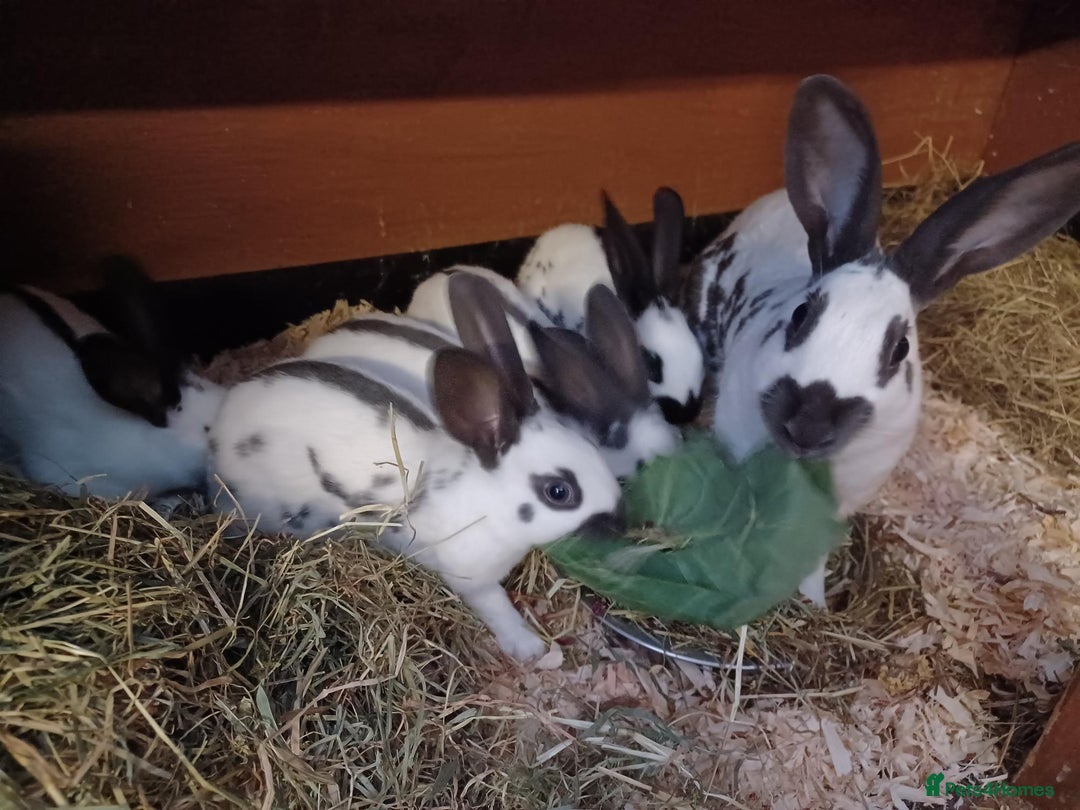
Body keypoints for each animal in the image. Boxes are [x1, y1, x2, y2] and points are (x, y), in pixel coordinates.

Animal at [209, 272, 625, 660]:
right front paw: (529, 648)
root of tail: (220, 430)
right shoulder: (472, 577)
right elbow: (496, 607)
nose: (618, 521)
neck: (484, 498)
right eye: (558, 491)